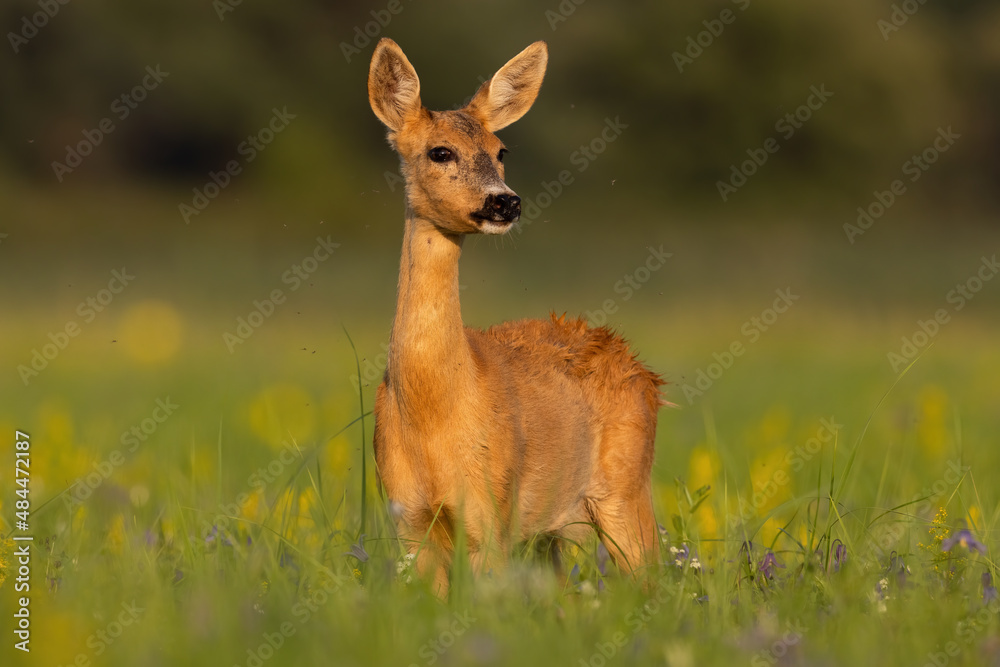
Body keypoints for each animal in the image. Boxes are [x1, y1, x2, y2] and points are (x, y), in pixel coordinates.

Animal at [370, 39, 664, 596]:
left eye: (502, 151)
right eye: (440, 151)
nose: (506, 202)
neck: (433, 415)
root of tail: (645, 369)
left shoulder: (492, 511)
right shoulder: (408, 520)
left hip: (624, 488)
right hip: (553, 529)